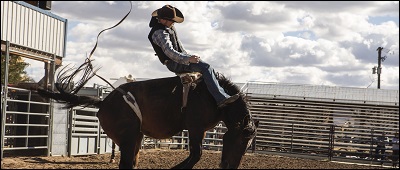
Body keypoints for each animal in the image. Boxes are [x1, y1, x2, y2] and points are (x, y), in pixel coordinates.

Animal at [36, 63, 256, 169]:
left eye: (248, 145)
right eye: (240, 140)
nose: (230, 166)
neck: (213, 95)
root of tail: (104, 102)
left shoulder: (198, 130)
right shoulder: (195, 127)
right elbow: (196, 155)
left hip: (136, 138)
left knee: (131, 163)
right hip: (127, 137)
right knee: (126, 164)